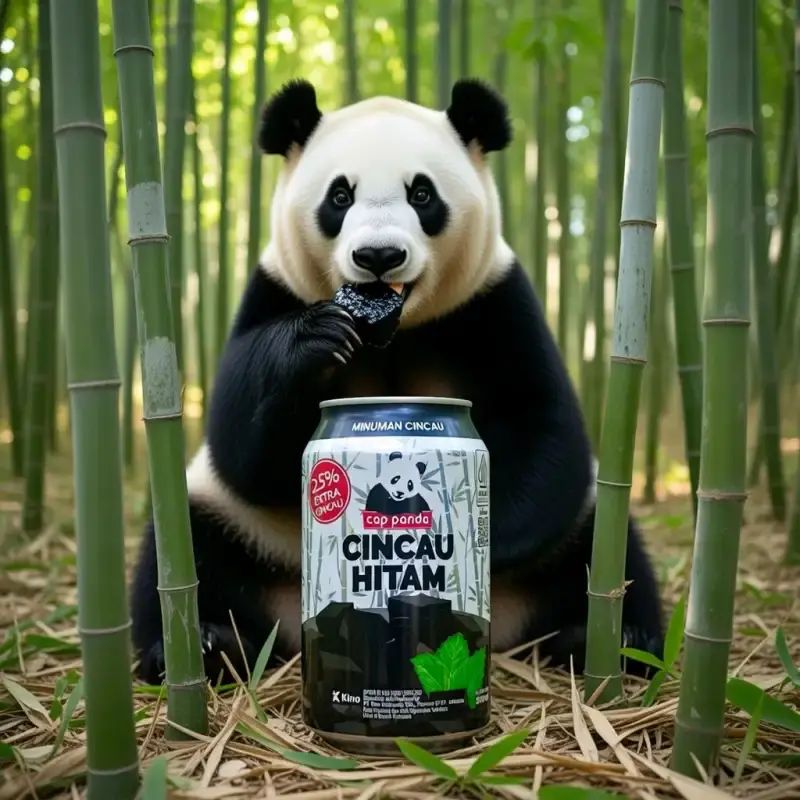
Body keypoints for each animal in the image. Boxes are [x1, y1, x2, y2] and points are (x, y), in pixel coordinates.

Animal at [130, 78, 664, 684]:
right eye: (339, 197)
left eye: (422, 195)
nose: (379, 255)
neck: (394, 329)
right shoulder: (275, 289)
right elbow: (240, 443)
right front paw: (316, 340)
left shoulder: (493, 303)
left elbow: (544, 428)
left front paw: (466, 540)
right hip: (235, 525)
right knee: (181, 556)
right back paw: (207, 645)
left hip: (581, 539)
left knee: (606, 554)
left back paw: (613, 644)